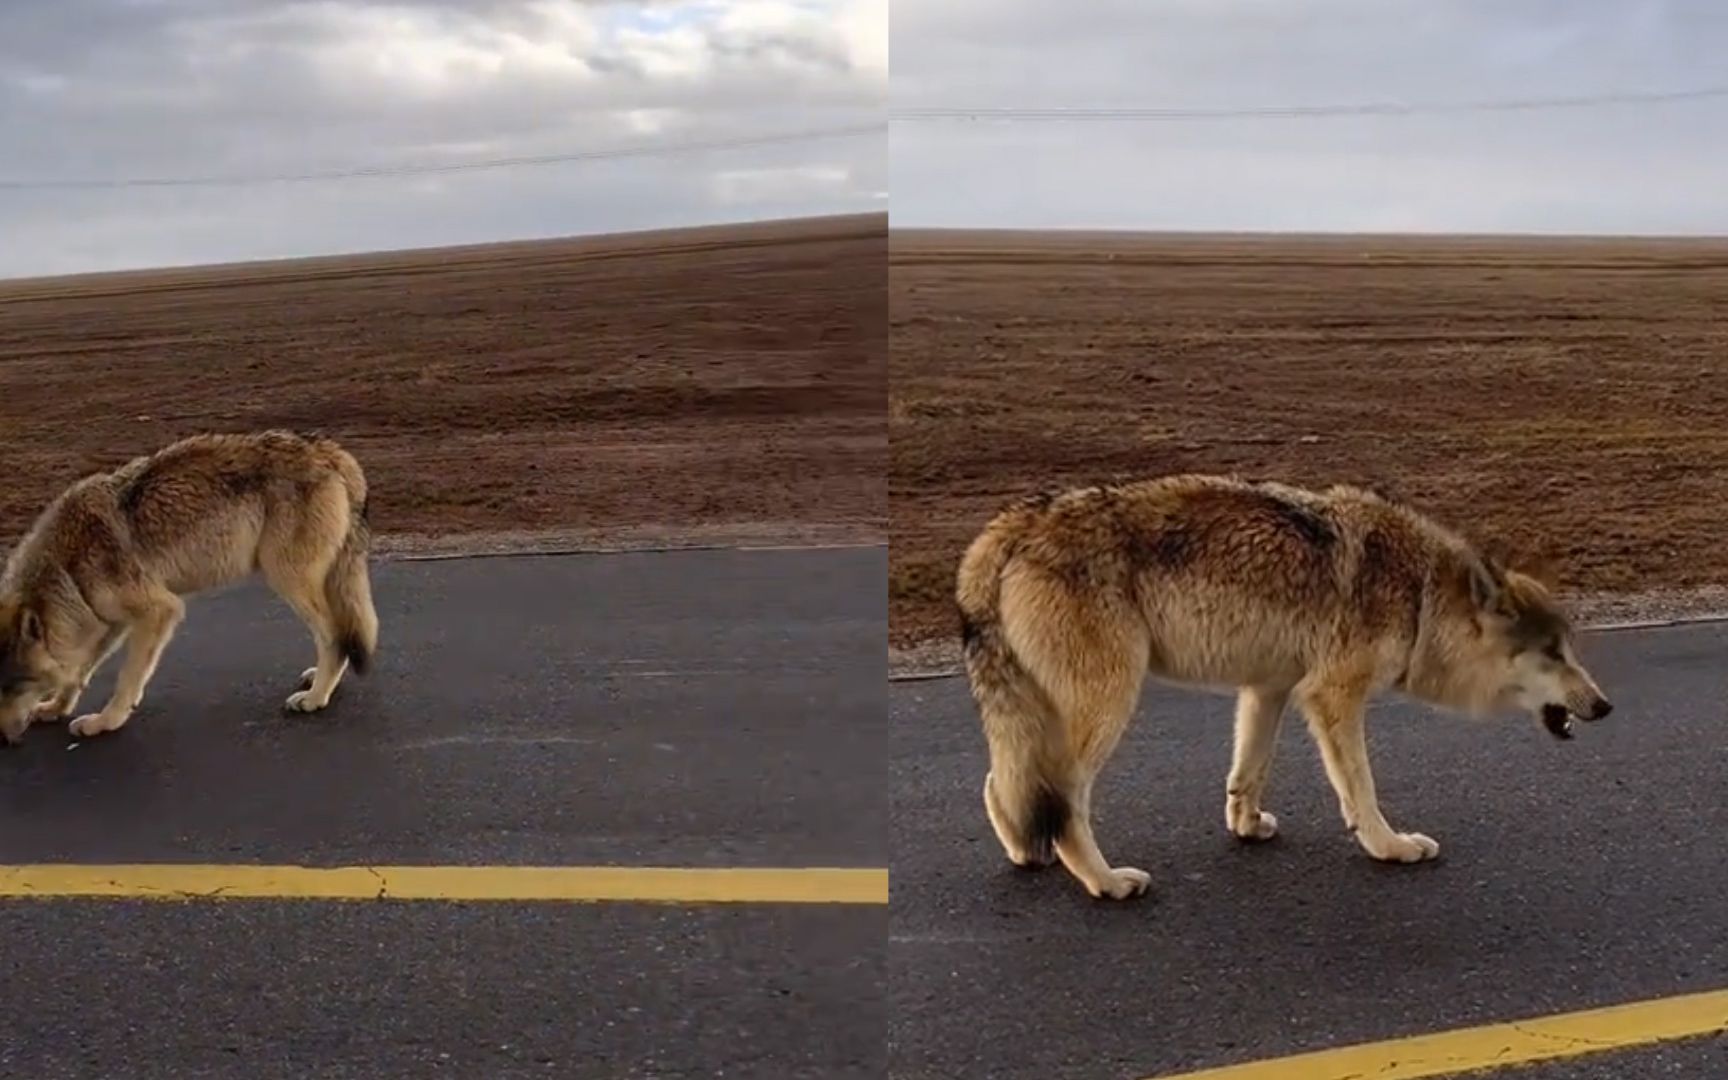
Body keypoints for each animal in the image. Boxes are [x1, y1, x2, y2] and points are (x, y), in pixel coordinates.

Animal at [0, 430, 380, 739]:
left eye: (14, 685)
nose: (3, 740)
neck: (67, 569)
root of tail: (331, 452)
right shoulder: (109, 623)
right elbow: (80, 672)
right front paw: (55, 708)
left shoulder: (159, 611)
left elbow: (126, 678)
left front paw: (105, 722)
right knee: (345, 634)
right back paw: (318, 681)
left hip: (287, 580)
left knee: (334, 637)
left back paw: (315, 698)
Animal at [953, 476, 1610, 898]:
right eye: (1553, 654)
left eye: (1570, 649)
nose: (1604, 705)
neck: (1419, 595)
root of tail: (1012, 522)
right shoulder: (1332, 696)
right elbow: (1361, 790)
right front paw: (1390, 847)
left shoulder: (1268, 689)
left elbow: (1247, 774)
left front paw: (1247, 827)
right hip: (1109, 704)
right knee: (1064, 804)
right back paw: (1106, 883)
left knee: (1001, 784)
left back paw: (1027, 853)